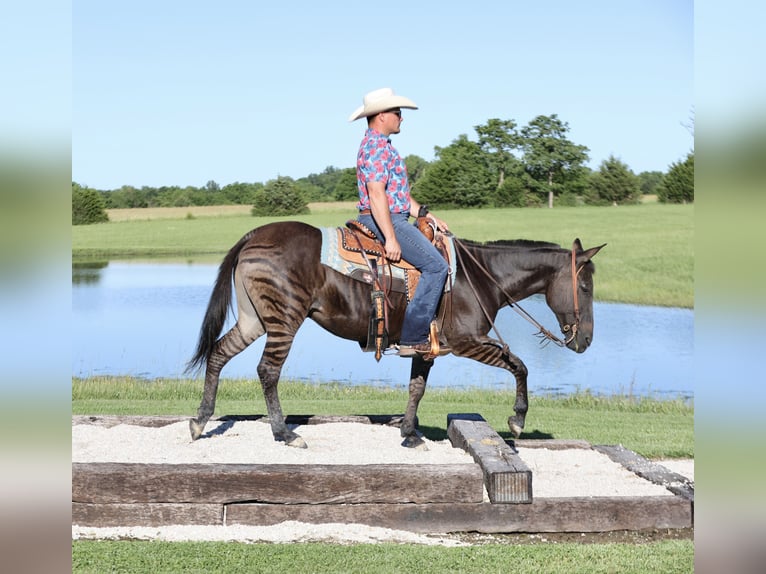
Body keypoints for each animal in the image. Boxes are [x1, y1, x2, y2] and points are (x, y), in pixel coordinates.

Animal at [188, 220, 608, 450]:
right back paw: (284, 434)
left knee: (219, 354)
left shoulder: (425, 347)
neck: (479, 277)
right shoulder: (467, 343)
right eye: (586, 287)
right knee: (267, 371)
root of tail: (253, 235)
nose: (586, 340)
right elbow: (519, 366)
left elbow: (416, 388)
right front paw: (518, 419)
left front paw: (409, 432)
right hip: (283, 320)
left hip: (254, 319)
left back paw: (200, 421)